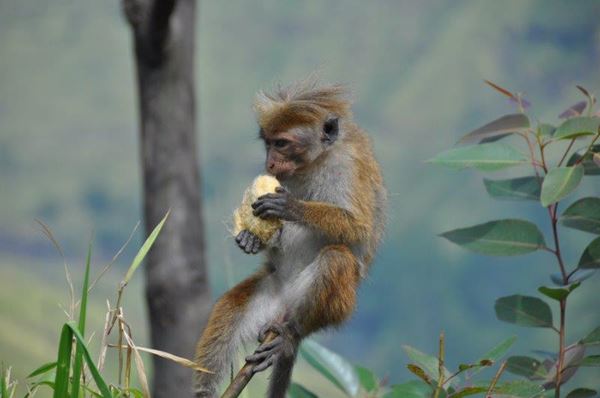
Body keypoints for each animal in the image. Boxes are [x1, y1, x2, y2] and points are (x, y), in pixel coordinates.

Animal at [195, 78, 386, 398]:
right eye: (268, 142)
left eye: (282, 144)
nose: (270, 163)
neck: (315, 162)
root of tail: (283, 307)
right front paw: (250, 238)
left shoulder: (348, 166)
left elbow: (359, 227)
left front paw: (292, 207)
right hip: (267, 298)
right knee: (229, 308)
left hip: (335, 305)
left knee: (336, 259)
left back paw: (290, 336)